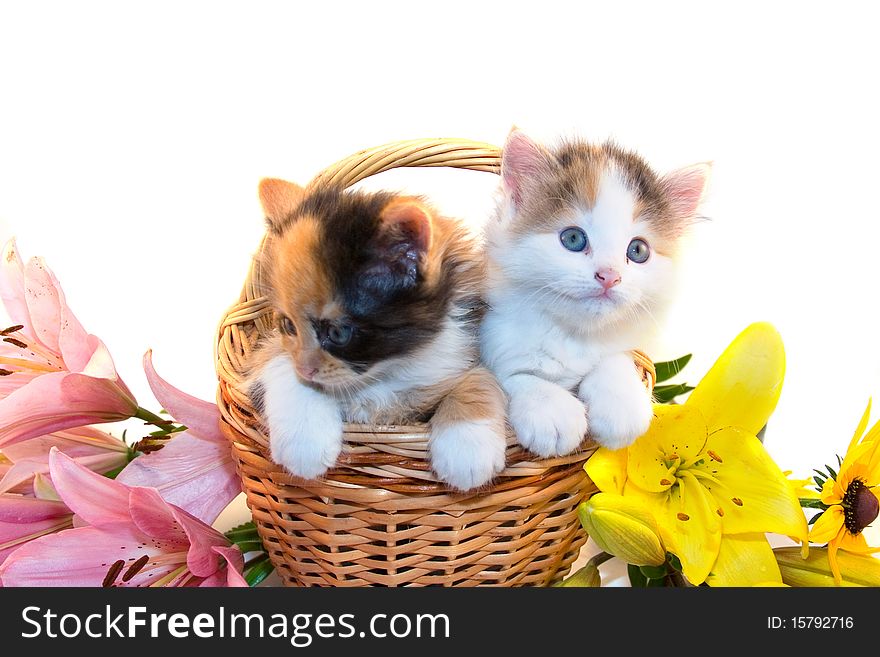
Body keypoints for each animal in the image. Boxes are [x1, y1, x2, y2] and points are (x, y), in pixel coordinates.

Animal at [248, 177, 508, 490]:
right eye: (287, 325)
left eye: (338, 332)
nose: (305, 369)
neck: (383, 374)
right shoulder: (270, 351)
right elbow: (276, 361)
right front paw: (303, 443)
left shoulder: (465, 342)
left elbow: (480, 376)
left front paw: (467, 448)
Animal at [482, 129, 708, 456]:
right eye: (573, 238)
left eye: (637, 251)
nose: (609, 276)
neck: (572, 336)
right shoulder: (491, 338)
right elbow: (515, 375)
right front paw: (551, 410)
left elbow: (613, 359)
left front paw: (621, 403)